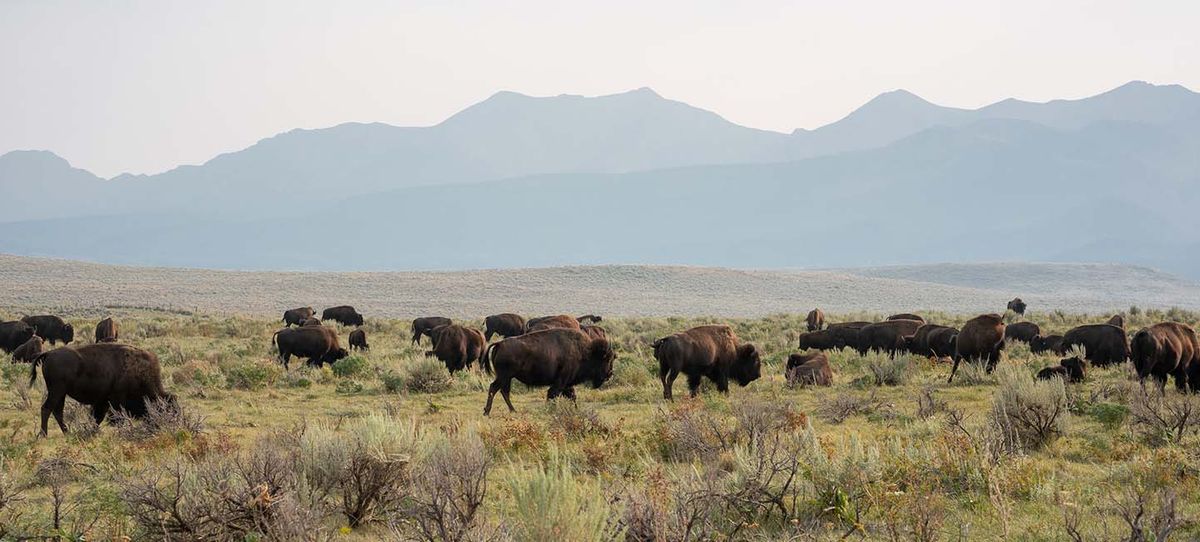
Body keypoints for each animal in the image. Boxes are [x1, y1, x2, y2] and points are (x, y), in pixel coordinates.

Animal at [30, 343, 175, 436]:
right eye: (165, 409)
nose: (165, 426)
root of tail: (48, 353)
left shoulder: (103, 401)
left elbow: (98, 418)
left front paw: (93, 431)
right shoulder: (116, 400)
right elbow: (115, 417)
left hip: (61, 393)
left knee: (57, 411)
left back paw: (67, 432)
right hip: (56, 391)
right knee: (47, 409)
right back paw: (43, 435)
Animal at [481, 328, 615, 415]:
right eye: (607, 359)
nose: (609, 374)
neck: (585, 351)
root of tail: (499, 344)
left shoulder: (567, 383)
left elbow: (572, 396)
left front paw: (575, 410)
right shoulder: (561, 382)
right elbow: (553, 395)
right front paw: (550, 410)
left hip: (507, 377)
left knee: (503, 391)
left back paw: (512, 410)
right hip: (504, 376)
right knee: (494, 388)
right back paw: (488, 412)